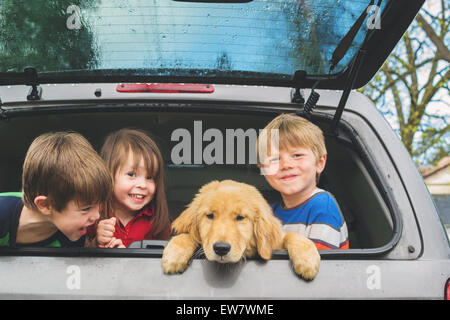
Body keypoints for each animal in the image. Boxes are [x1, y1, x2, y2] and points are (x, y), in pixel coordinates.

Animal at [162, 180, 320, 280]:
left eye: (240, 218)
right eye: (210, 215)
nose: (221, 248)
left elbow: (291, 235)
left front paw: (307, 261)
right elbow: (188, 235)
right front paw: (174, 254)